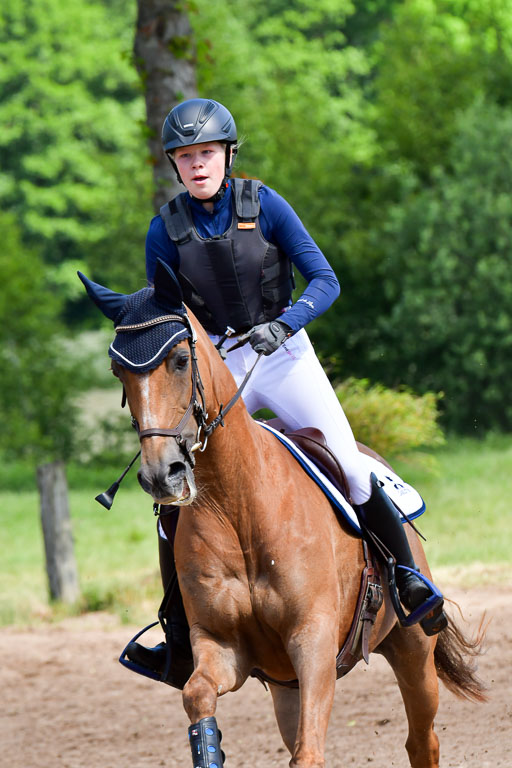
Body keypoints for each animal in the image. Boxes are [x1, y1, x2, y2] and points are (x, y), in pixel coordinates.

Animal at [79, 261, 485, 768]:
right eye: (118, 371)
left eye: (179, 360)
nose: (161, 475)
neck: (238, 505)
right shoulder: (222, 647)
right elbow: (199, 697)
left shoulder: (314, 644)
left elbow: (309, 752)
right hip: (284, 687)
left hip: (412, 649)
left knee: (421, 739)